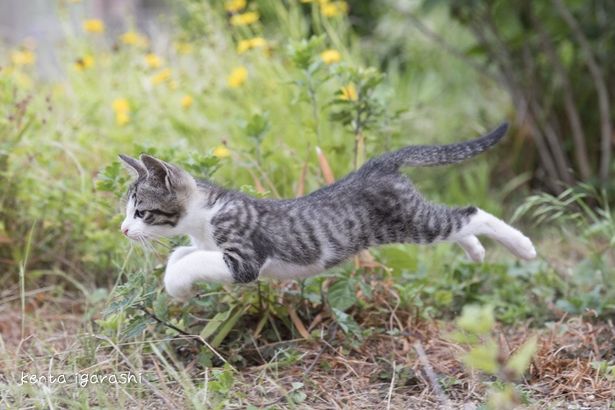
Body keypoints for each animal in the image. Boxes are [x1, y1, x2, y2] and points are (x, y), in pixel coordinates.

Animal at [119, 122, 536, 302]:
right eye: (127, 212)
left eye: (141, 212)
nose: (123, 230)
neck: (205, 217)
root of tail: (377, 165)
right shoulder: (205, 245)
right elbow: (181, 253)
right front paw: (176, 278)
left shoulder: (242, 260)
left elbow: (191, 261)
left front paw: (177, 286)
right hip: (417, 218)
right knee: (459, 224)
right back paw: (476, 250)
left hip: (413, 222)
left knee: (472, 214)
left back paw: (523, 247)